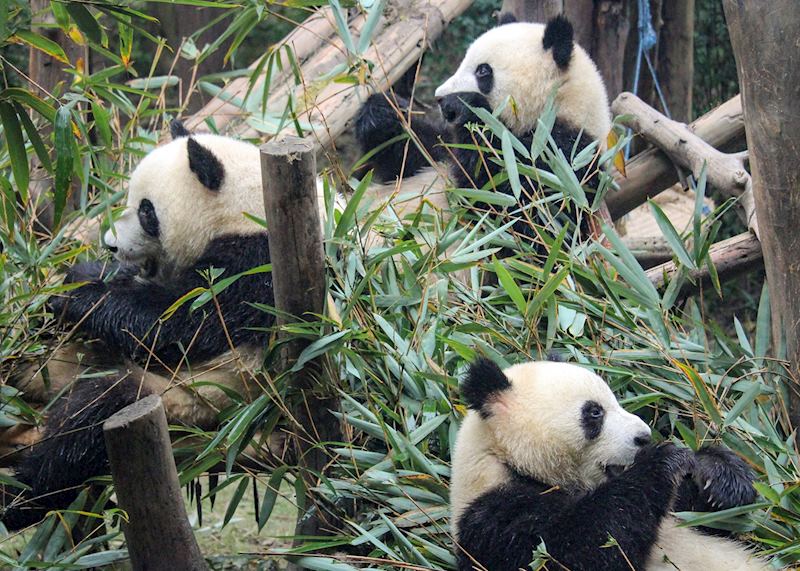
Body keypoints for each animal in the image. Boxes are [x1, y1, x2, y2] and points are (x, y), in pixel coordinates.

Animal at [2, 121, 335, 530]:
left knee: (94, 416)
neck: (245, 208)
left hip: (195, 400)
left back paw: (19, 499)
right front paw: (79, 280)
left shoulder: (259, 265)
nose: (110, 245)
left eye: (147, 212)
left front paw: (78, 290)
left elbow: (181, 326)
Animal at [354, 15, 611, 246]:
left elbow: (515, 212)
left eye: (483, 71)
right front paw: (382, 114)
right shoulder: (442, 154)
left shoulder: (565, 163)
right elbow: (417, 155)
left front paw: (468, 107)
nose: (440, 98)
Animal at [452, 358, 768, 571]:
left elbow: (702, 515)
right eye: (595, 412)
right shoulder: (496, 518)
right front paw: (660, 462)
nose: (643, 436)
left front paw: (720, 478)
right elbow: (572, 552)